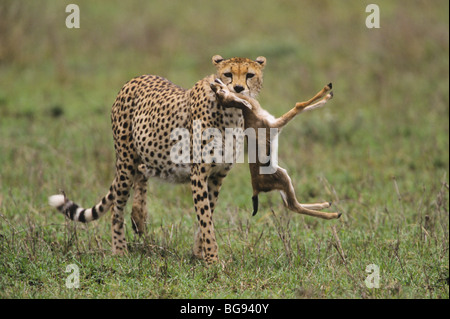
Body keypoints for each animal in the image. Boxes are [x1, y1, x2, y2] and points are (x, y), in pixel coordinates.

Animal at [49, 55, 268, 264]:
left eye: (249, 75)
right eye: (228, 74)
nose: (238, 88)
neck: (231, 112)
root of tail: (135, 78)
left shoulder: (217, 176)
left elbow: (207, 215)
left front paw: (199, 254)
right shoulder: (199, 174)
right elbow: (205, 219)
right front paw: (212, 260)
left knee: (141, 174)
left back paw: (138, 217)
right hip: (125, 162)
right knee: (116, 206)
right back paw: (120, 250)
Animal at [211, 79, 342, 221]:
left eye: (220, 91)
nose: (213, 84)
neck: (250, 112)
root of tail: (255, 188)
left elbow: (304, 107)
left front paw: (328, 96)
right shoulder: (277, 124)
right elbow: (299, 106)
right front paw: (327, 88)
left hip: (283, 185)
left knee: (288, 204)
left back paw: (327, 204)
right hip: (284, 179)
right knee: (294, 206)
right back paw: (335, 214)